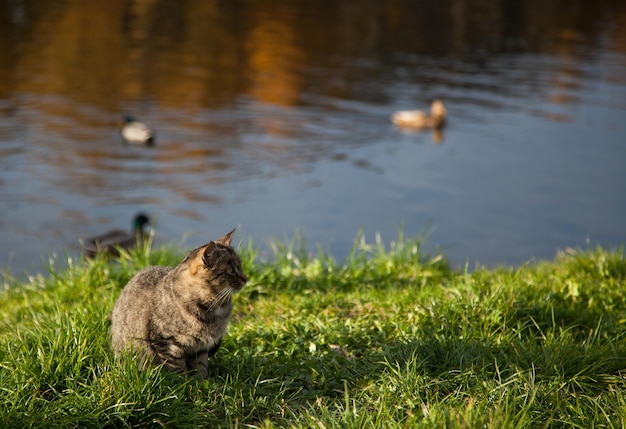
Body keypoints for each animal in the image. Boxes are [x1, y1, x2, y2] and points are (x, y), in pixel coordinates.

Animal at [109, 229, 246, 376]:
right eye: (231, 270)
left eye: (240, 266)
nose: (246, 279)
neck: (214, 304)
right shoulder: (168, 344)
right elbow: (177, 370)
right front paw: (184, 381)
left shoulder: (201, 348)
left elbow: (201, 368)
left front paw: (202, 380)